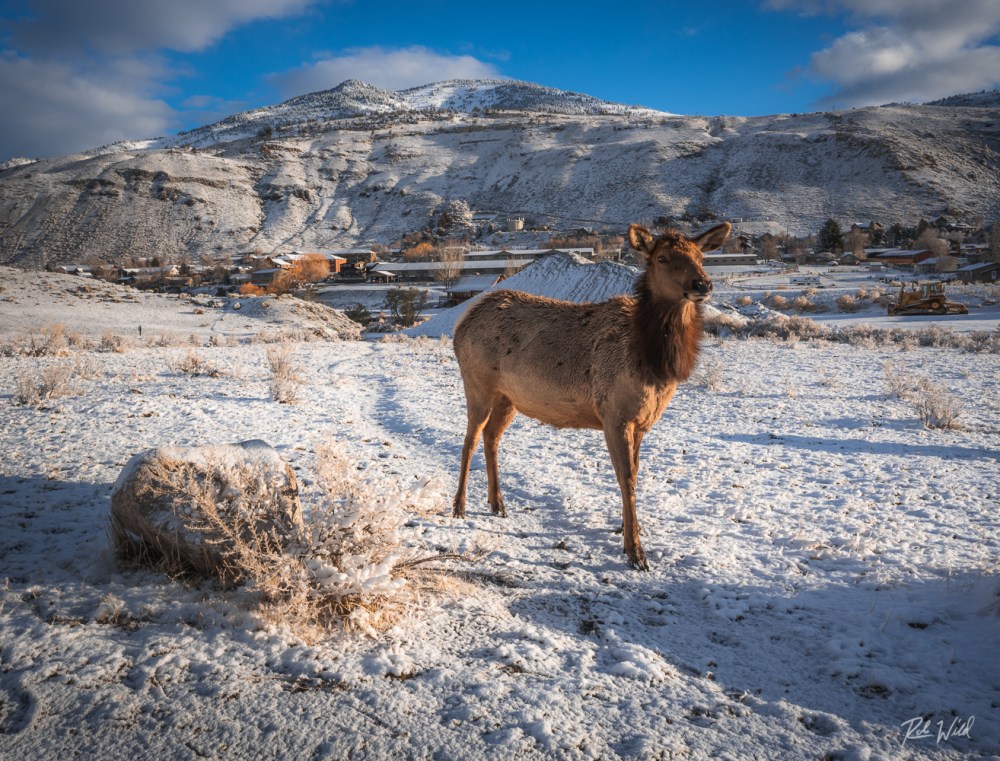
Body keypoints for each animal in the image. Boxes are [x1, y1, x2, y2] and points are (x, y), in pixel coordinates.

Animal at [452, 223, 728, 568]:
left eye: (701, 256)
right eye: (662, 258)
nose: (702, 283)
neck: (654, 364)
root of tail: (461, 324)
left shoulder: (642, 421)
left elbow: (635, 474)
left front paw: (631, 530)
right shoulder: (614, 415)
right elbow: (626, 478)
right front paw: (635, 551)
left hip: (509, 398)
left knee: (491, 437)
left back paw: (497, 503)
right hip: (477, 383)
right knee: (469, 439)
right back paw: (459, 507)